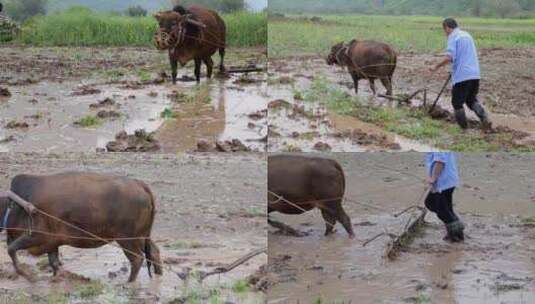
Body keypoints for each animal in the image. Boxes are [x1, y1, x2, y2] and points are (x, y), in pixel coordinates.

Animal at [0, 172, 163, 282]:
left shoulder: (36, 236)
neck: (14, 206)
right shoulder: (52, 243)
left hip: (127, 238)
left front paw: (29, 276)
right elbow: (54, 264)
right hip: (141, 236)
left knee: (137, 259)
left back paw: (129, 283)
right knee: (154, 252)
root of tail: (139, 184)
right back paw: (158, 276)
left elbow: (11, 249)